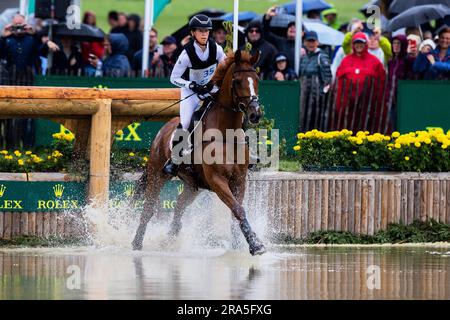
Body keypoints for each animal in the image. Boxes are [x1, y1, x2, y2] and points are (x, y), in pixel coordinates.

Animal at [130, 49, 266, 255]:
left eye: (256, 79)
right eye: (237, 81)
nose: (255, 114)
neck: (225, 134)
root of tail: (162, 130)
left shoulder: (239, 180)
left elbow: (236, 212)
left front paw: (240, 245)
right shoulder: (218, 181)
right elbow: (238, 209)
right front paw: (256, 245)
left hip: (193, 184)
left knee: (179, 205)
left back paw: (170, 239)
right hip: (157, 175)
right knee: (148, 208)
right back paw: (137, 243)